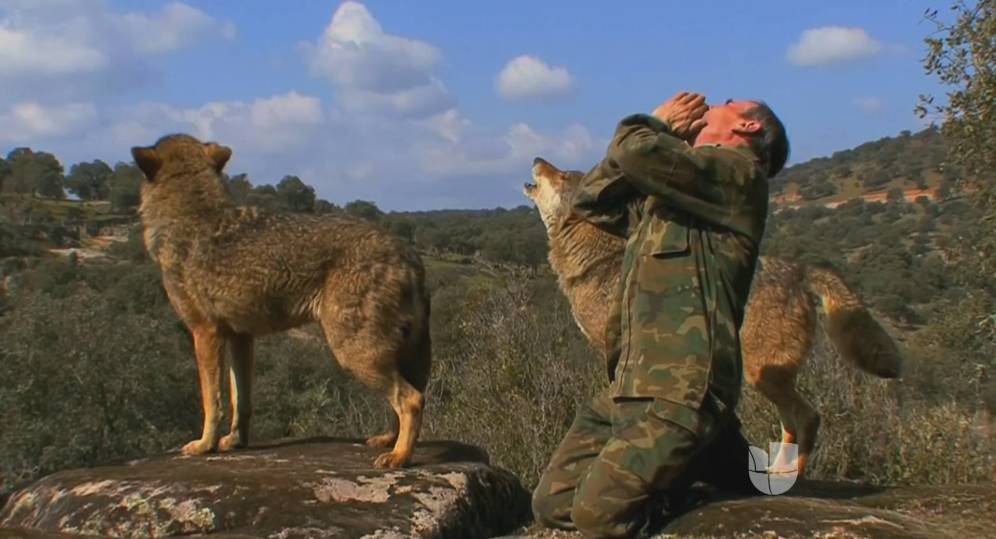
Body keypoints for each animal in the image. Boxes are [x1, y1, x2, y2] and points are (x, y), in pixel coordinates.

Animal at [132, 134, 431, 468]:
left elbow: (212, 402)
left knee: (412, 400)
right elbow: (240, 400)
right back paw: (388, 441)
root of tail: (408, 254)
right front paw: (235, 442)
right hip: (388, 356)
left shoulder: (205, 334)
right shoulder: (241, 338)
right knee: (405, 398)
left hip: (355, 355)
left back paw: (399, 457)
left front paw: (204, 445)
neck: (191, 215)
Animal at [524, 157, 902, 476]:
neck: (596, 259)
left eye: (562, 175)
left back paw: (787, 475)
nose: (537, 159)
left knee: (808, 418)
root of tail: (799, 269)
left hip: (762, 375)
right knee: (793, 423)